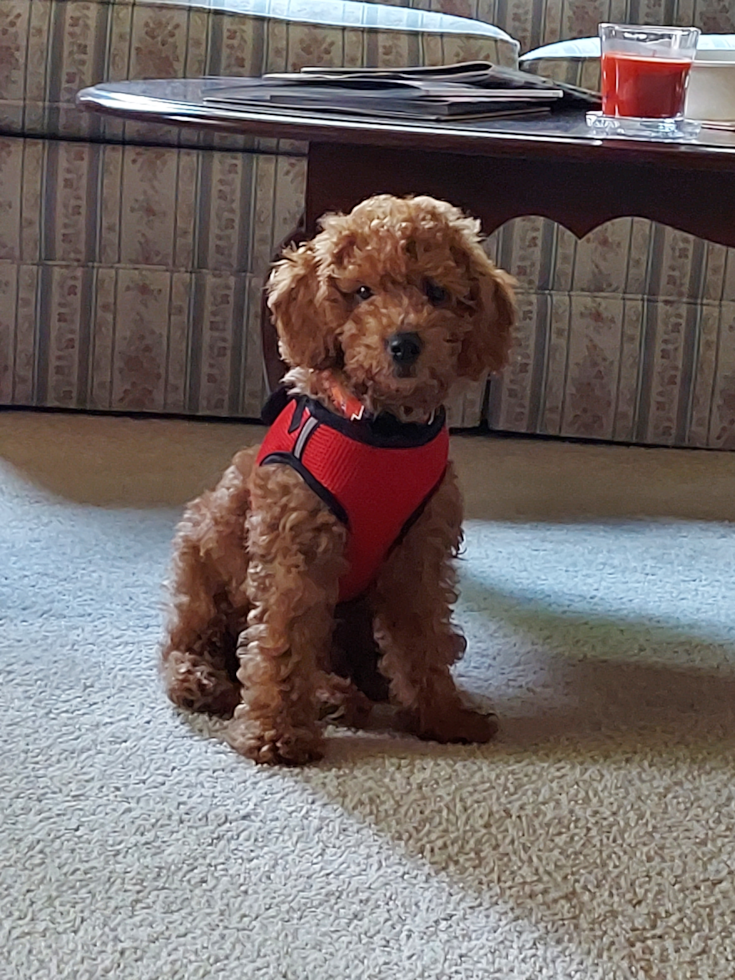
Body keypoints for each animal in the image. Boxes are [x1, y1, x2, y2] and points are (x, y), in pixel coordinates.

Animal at [162, 193, 516, 764]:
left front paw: (444, 715)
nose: (404, 343)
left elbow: (426, 638)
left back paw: (346, 692)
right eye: (363, 292)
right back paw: (208, 681)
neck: (381, 428)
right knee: (194, 642)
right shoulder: (297, 546)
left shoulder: (419, 552)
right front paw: (277, 733)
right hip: (205, 557)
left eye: (435, 291)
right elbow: (284, 638)